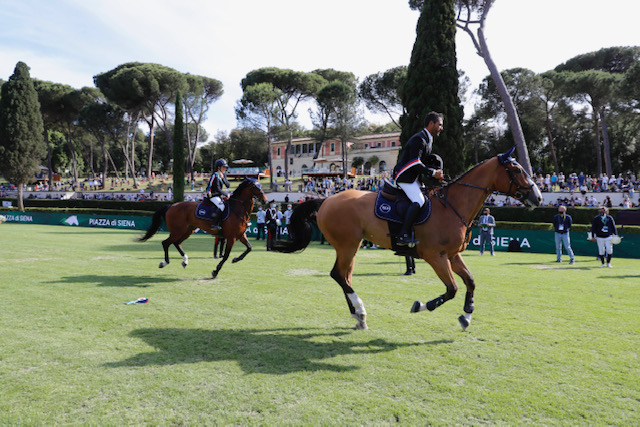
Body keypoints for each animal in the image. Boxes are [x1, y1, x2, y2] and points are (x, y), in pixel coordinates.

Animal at [140, 177, 268, 278]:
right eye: (254, 187)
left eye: (260, 186)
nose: (265, 200)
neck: (237, 209)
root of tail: (171, 206)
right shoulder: (231, 237)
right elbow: (226, 255)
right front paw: (215, 271)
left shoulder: (241, 235)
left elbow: (249, 248)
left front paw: (235, 259)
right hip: (178, 231)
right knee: (166, 243)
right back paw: (165, 262)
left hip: (187, 231)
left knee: (176, 243)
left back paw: (185, 261)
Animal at [272, 149, 544, 332]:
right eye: (517, 170)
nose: (538, 197)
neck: (453, 206)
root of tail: (327, 199)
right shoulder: (436, 257)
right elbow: (452, 289)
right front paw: (422, 305)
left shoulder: (452, 255)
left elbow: (470, 282)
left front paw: (467, 315)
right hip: (348, 245)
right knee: (339, 275)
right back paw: (360, 310)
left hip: (352, 246)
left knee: (344, 276)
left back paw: (358, 316)